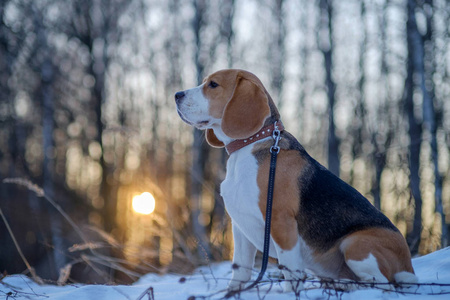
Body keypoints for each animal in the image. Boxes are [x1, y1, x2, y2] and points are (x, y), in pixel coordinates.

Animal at [174, 69, 416, 292]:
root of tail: (409, 267)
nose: (176, 95)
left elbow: (290, 270)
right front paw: (233, 292)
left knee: (381, 283)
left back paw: (347, 286)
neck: (251, 144)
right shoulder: (240, 226)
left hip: (356, 244)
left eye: (213, 84)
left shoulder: (281, 221)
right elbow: (240, 269)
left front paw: (289, 293)